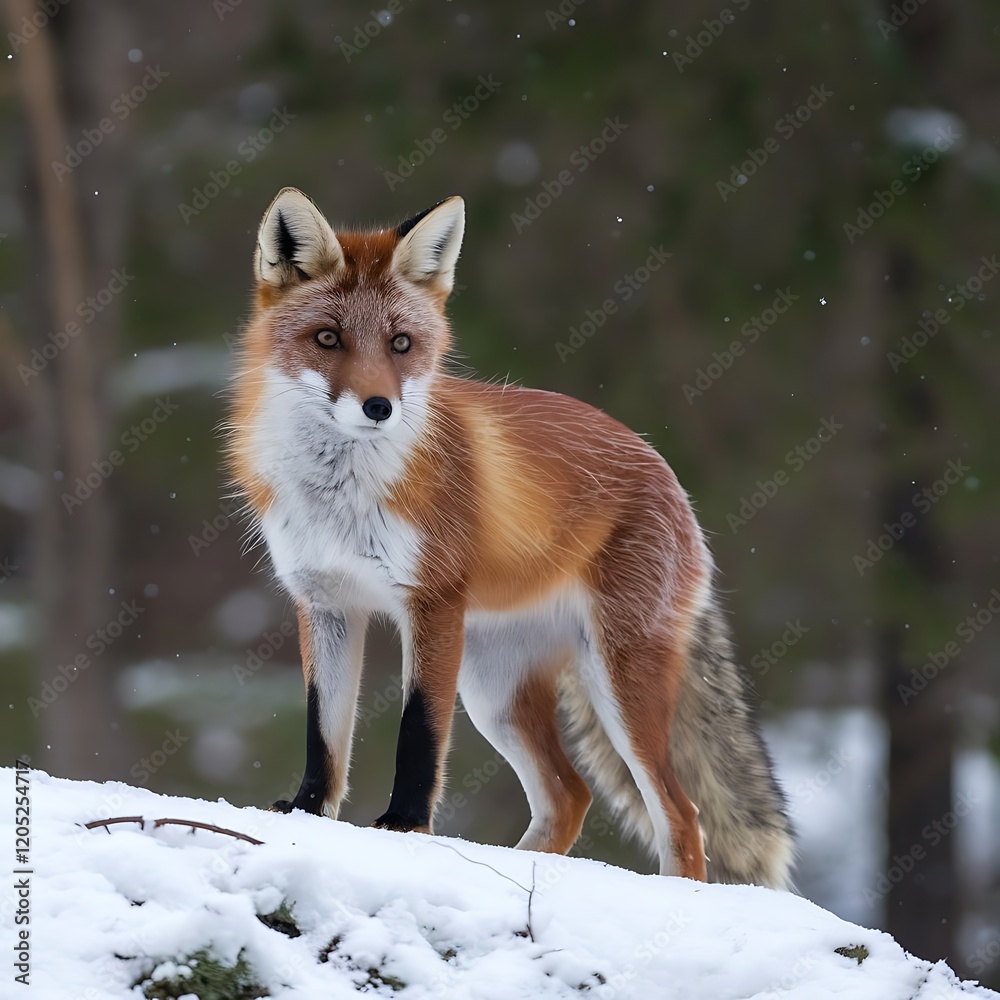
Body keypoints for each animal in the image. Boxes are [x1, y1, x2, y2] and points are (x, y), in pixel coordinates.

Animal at [227, 187, 794, 887]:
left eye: (401, 343)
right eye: (328, 339)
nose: (379, 407)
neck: (342, 495)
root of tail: (665, 470)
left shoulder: (432, 604)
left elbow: (418, 733)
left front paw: (403, 828)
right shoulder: (326, 604)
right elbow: (323, 731)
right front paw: (307, 813)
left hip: (613, 681)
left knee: (682, 815)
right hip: (493, 691)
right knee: (570, 797)